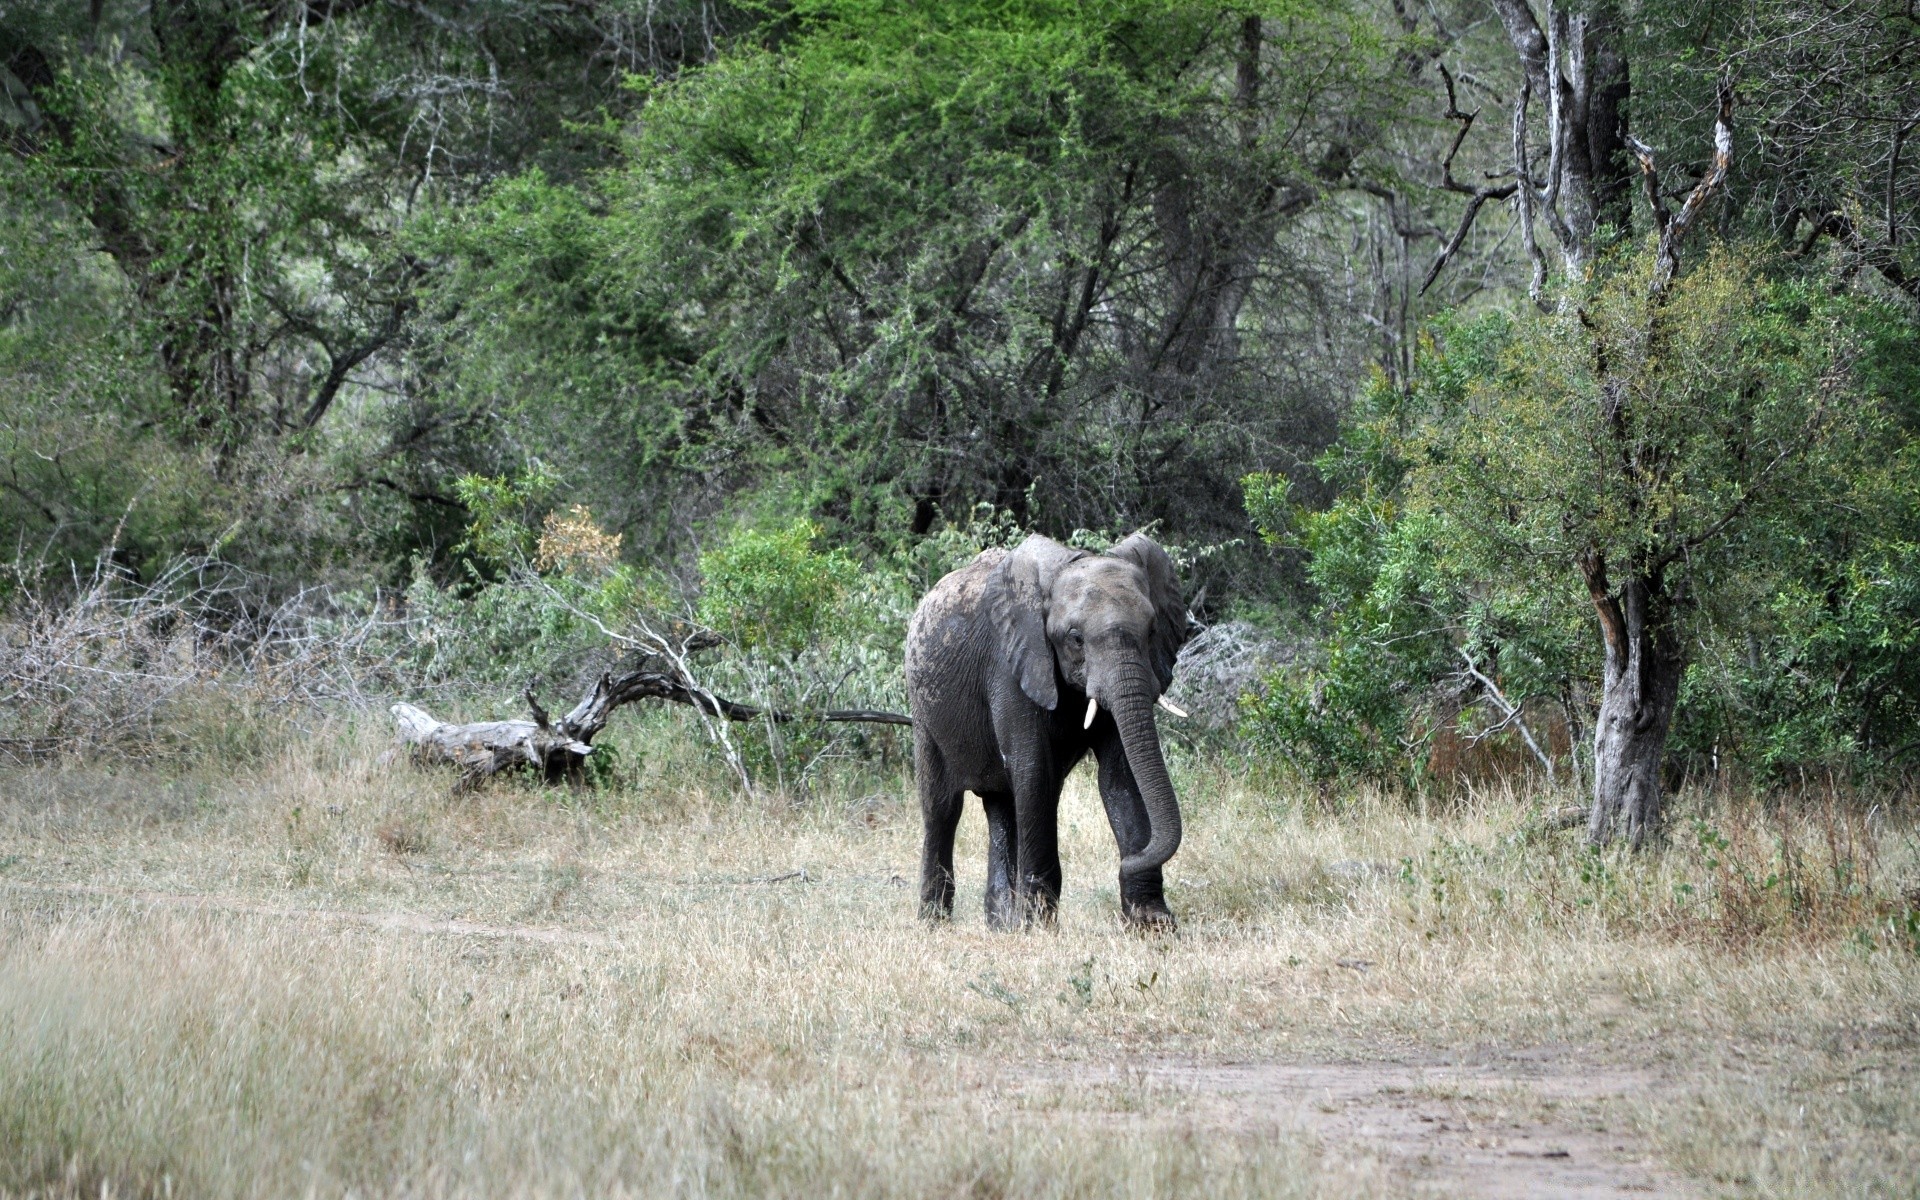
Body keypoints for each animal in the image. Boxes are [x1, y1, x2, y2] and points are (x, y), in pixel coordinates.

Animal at [898, 529, 1182, 925]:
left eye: (1153, 629)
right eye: (1075, 637)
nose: (1125, 863)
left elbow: (1121, 776)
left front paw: (1152, 923)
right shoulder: (1010, 666)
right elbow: (1035, 772)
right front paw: (1038, 926)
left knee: (1002, 805)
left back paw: (1002, 925)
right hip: (923, 707)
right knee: (942, 808)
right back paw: (934, 922)